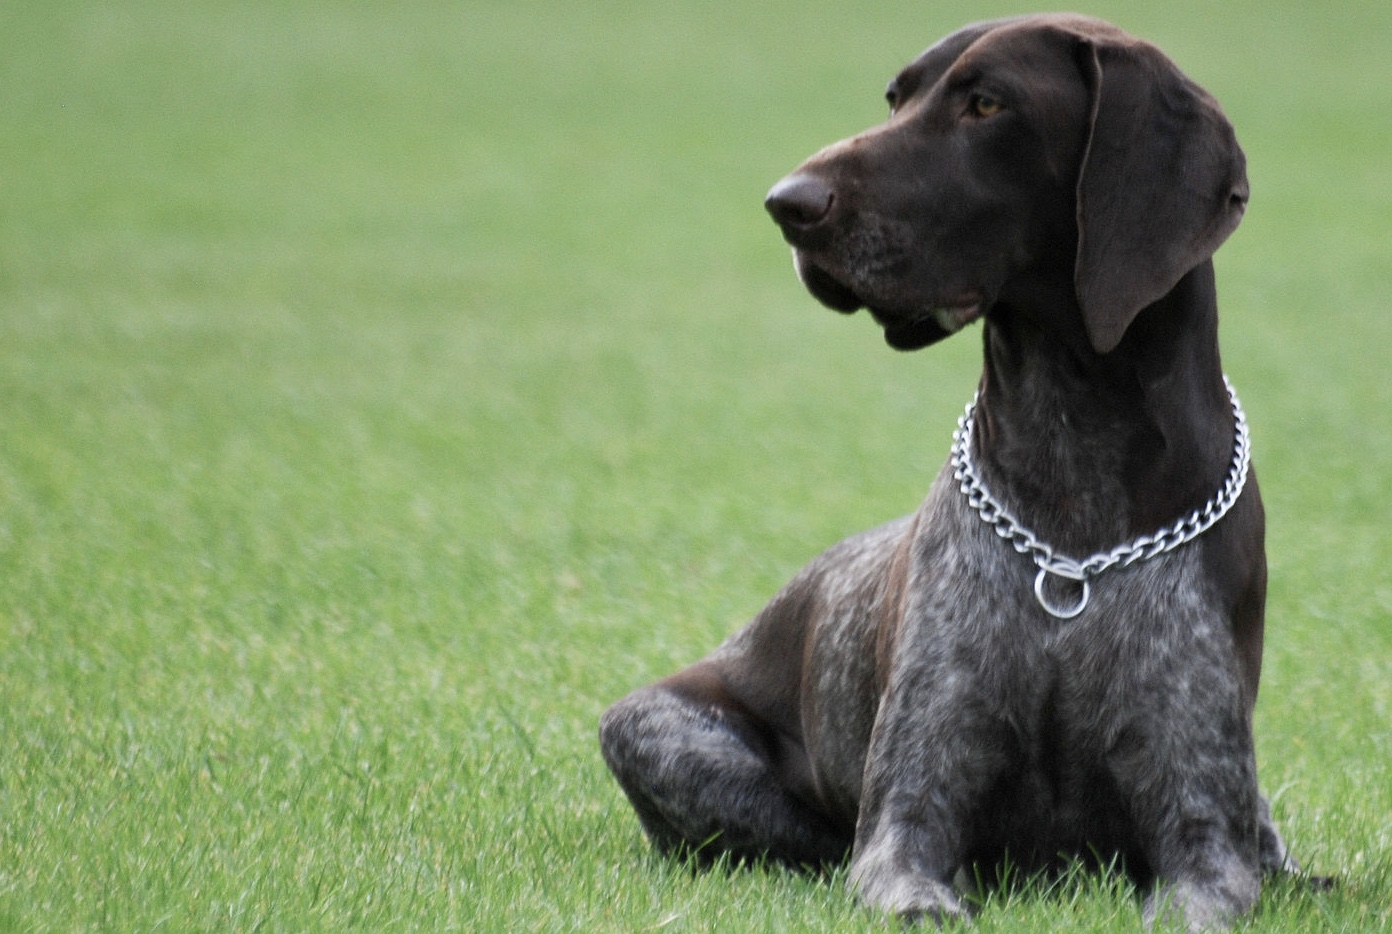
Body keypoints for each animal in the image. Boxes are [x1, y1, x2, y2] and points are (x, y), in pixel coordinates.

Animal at [598, 12, 1291, 929]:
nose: (788, 204)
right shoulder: (905, 823)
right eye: (896, 98)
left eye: (986, 104)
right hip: (652, 730)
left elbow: (1205, 876)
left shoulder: (1206, 843)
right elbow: (909, 880)